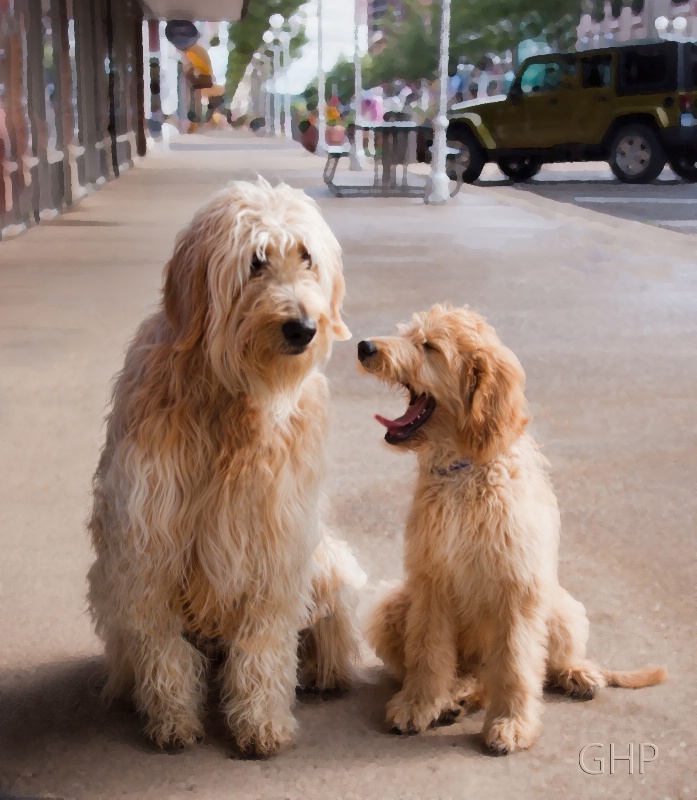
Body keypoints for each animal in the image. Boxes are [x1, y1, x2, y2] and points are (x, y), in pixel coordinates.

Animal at [87, 180, 364, 756]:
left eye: (306, 256)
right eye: (255, 261)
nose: (303, 328)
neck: (232, 397)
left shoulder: (275, 541)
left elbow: (264, 643)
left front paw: (261, 721)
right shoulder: (147, 540)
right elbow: (161, 640)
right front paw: (173, 717)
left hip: (326, 565)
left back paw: (323, 673)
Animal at [356, 304, 668, 756]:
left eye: (430, 346)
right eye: (409, 334)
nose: (364, 346)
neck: (464, 470)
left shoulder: (516, 587)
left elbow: (518, 664)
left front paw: (511, 725)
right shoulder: (430, 582)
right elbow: (428, 651)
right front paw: (418, 705)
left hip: (560, 605)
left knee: (541, 664)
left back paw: (577, 674)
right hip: (393, 606)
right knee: (467, 675)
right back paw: (454, 697)